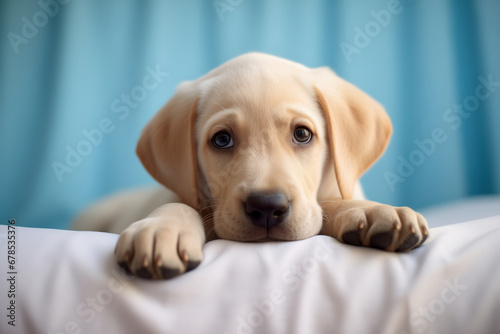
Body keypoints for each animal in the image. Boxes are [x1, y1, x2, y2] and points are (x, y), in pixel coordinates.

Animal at [72, 52, 428, 280]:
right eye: (221, 140)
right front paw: (162, 228)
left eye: (302, 134)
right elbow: (180, 204)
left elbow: (329, 203)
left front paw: (373, 211)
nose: (267, 207)